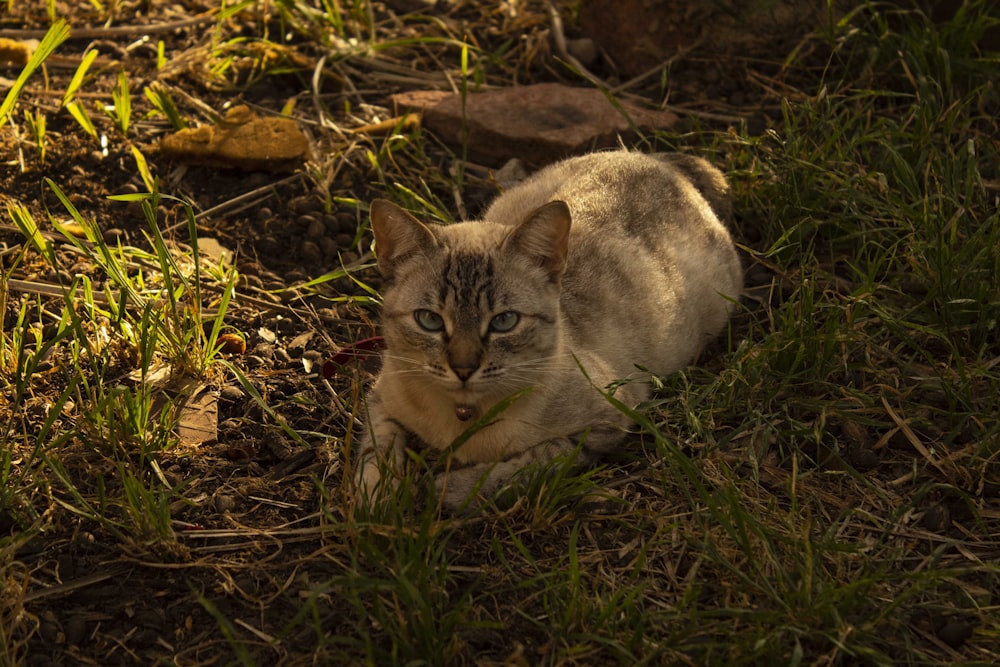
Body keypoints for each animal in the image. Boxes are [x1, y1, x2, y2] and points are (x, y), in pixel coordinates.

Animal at [354, 150, 744, 506]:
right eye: (430, 320)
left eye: (504, 321)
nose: (463, 369)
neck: (463, 417)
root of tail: (657, 159)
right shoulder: (380, 398)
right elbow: (377, 452)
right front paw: (376, 505)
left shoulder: (603, 425)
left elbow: (521, 466)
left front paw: (442, 491)